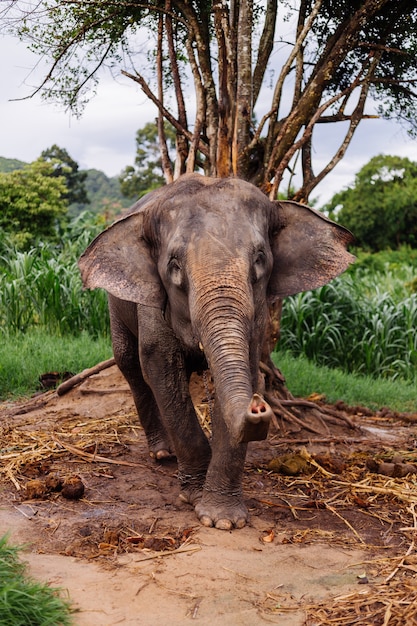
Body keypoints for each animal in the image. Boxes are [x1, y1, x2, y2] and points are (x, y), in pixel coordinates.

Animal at [79, 171, 354, 528]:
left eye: (260, 259)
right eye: (174, 266)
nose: (259, 406)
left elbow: (244, 370)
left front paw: (224, 520)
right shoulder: (153, 306)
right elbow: (160, 368)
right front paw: (194, 497)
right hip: (116, 304)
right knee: (130, 364)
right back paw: (162, 453)